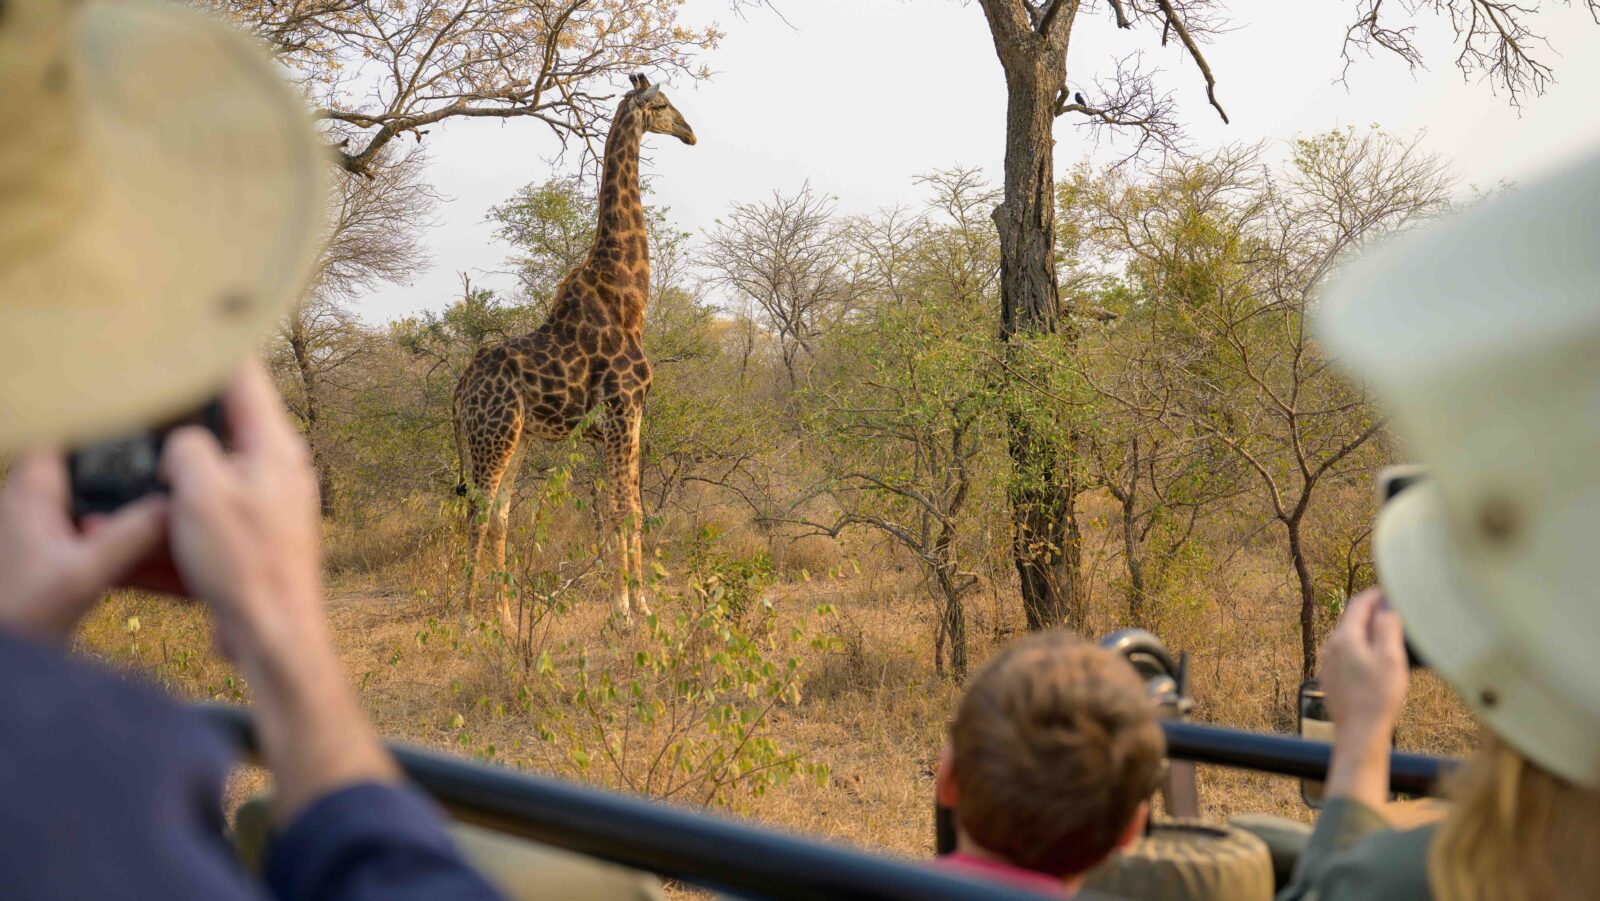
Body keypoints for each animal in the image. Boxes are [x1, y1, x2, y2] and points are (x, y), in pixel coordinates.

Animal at [454, 75, 697, 627]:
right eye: (661, 104)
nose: (690, 132)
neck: (629, 296)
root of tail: (460, 391)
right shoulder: (623, 409)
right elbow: (622, 510)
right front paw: (624, 610)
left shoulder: (630, 418)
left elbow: (629, 508)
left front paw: (641, 603)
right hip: (492, 435)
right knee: (477, 512)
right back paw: (467, 617)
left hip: (517, 439)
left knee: (499, 515)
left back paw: (504, 618)